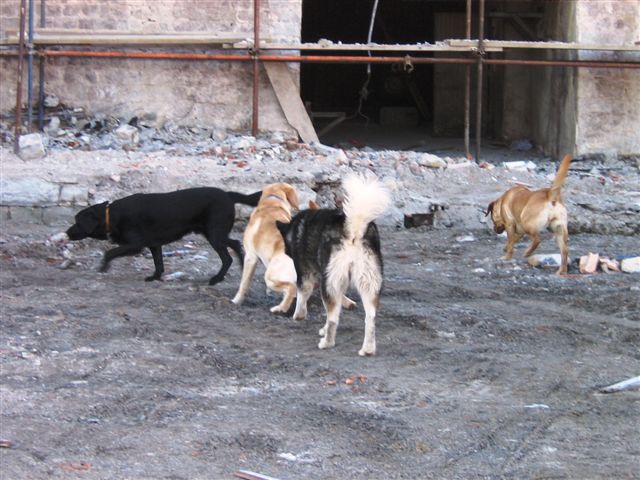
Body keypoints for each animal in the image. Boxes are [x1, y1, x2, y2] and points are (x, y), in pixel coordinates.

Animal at [65, 188, 262, 284]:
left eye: (77, 222)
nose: (67, 233)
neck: (110, 215)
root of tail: (228, 195)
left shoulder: (136, 244)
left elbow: (110, 252)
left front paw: (103, 267)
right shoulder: (154, 245)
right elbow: (158, 262)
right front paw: (155, 277)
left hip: (214, 234)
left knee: (229, 253)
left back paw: (218, 278)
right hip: (213, 233)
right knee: (234, 246)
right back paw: (238, 268)